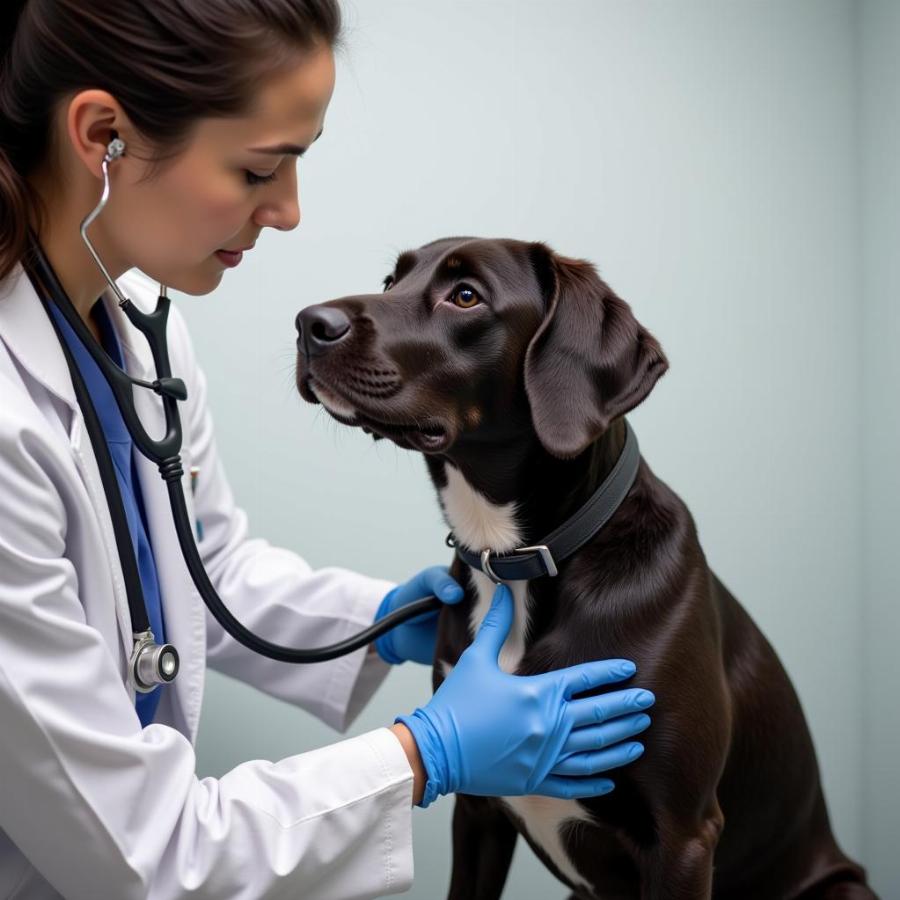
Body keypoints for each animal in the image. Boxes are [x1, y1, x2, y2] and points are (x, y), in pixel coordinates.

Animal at [294, 239, 872, 900]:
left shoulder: (684, 837)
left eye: (465, 296)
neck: (515, 565)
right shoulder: (478, 807)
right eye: (392, 279)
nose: (308, 324)